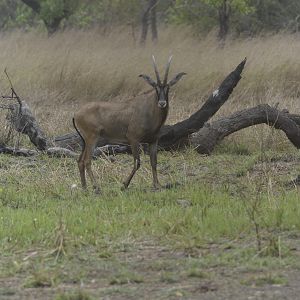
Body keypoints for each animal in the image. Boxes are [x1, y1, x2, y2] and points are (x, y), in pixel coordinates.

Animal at [72, 56, 185, 192]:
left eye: (168, 87)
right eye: (155, 87)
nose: (162, 103)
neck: (148, 108)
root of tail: (76, 114)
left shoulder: (153, 141)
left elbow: (154, 162)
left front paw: (157, 185)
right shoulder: (133, 139)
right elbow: (137, 163)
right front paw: (124, 185)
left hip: (84, 141)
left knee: (80, 161)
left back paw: (84, 187)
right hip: (92, 138)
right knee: (87, 161)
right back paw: (96, 186)